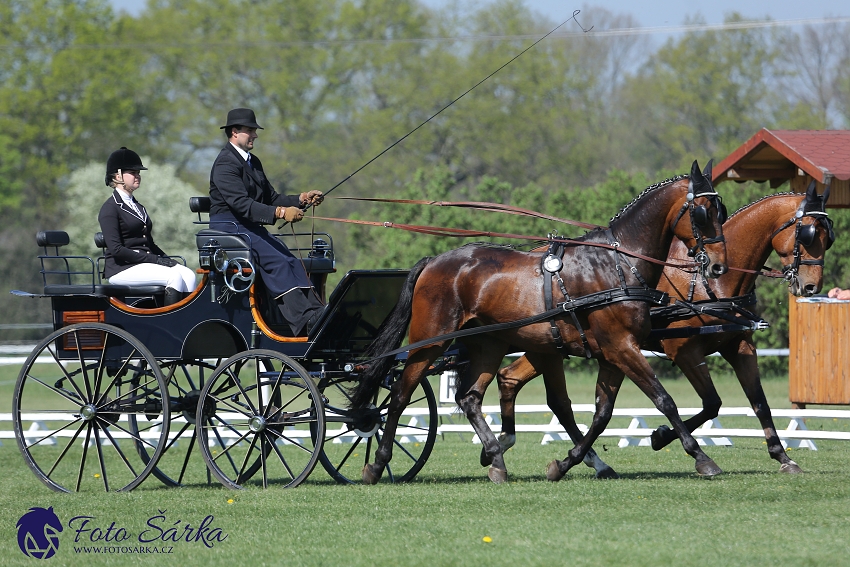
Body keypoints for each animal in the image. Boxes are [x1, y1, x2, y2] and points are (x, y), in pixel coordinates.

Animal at [348, 160, 724, 484]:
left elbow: (601, 414)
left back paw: (496, 459)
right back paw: (378, 463)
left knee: (470, 397)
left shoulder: (613, 353)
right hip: (430, 341)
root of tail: (433, 261)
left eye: (720, 211)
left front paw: (567, 462)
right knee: (400, 393)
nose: (718, 266)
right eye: (703, 211)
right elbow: (664, 400)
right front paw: (701, 457)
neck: (616, 265)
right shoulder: (621, 347)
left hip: (488, 344)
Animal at [494, 181, 832, 474]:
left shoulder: (739, 345)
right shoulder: (683, 350)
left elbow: (759, 403)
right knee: (549, 397)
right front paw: (664, 438)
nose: (811, 286)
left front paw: (783, 457)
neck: (711, 283)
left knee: (514, 380)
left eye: (828, 237)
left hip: (545, 347)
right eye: (807, 233)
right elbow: (711, 403)